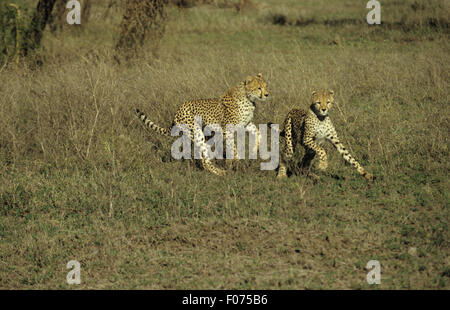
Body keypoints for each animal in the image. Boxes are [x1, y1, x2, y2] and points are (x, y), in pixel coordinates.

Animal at [135, 72, 268, 174]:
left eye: (265, 86)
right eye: (259, 88)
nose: (267, 94)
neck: (248, 98)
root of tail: (178, 110)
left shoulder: (246, 124)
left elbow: (259, 133)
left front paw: (255, 150)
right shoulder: (227, 129)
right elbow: (232, 147)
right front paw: (234, 161)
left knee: (204, 156)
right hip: (197, 133)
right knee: (204, 160)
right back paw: (221, 172)